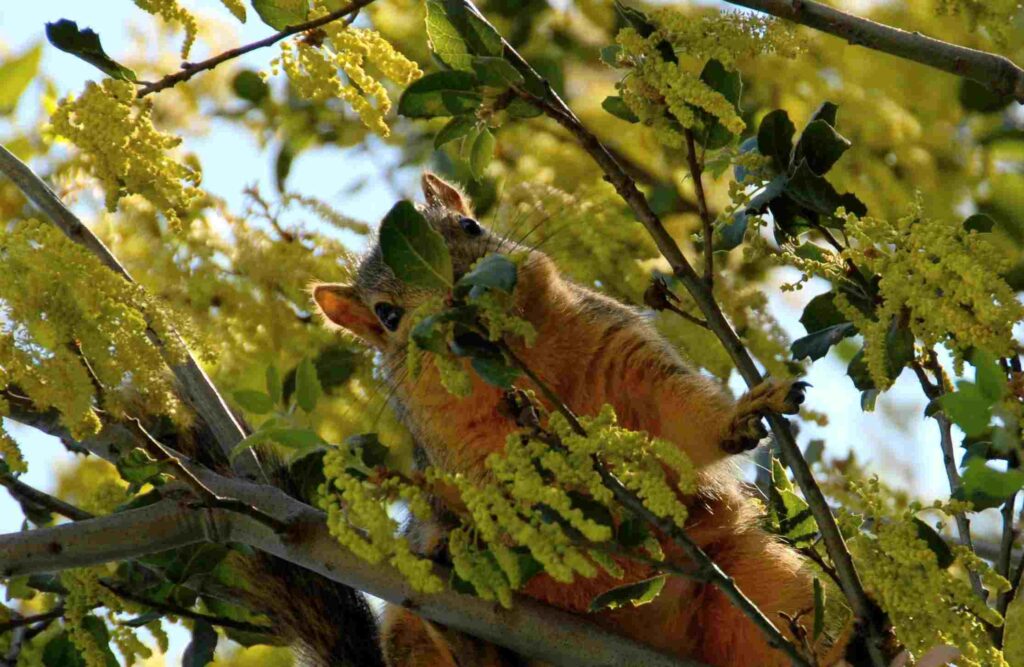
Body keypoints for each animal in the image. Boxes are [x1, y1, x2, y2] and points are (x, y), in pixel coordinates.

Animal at [307, 173, 835, 667]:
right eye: (388, 315)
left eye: (469, 226)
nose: (462, 293)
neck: (526, 366)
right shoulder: (453, 449)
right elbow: (503, 494)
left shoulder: (625, 354)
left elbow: (683, 419)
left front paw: (743, 414)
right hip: (406, 627)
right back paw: (467, 639)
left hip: (764, 579)